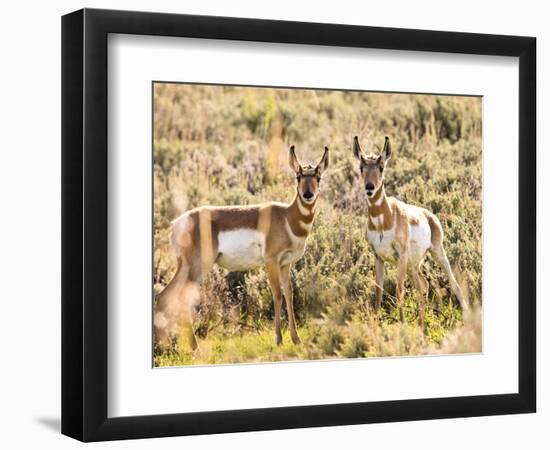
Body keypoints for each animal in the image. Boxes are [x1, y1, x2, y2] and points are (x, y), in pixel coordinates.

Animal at [153, 146, 330, 350]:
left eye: (318, 176)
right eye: (298, 176)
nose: (308, 195)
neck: (286, 217)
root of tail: (176, 224)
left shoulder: (286, 264)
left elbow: (289, 294)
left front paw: (296, 339)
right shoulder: (271, 262)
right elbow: (277, 294)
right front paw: (278, 339)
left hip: (189, 268)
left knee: (169, 296)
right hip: (196, 267)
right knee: (175, 297)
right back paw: (186, 347)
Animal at [354, 135, 470, 322]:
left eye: (381, 167)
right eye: (361, 167)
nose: (369, 187)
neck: (384, 220)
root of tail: (429, 216)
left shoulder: (401, 256)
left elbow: (399, 290)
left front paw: (402, 322)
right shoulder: (378, 257)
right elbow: (379, 291)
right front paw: (377, 320)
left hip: (436, 253)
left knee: (453, 284)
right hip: (412, 266)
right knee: (423, 285)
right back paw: (422, 321)